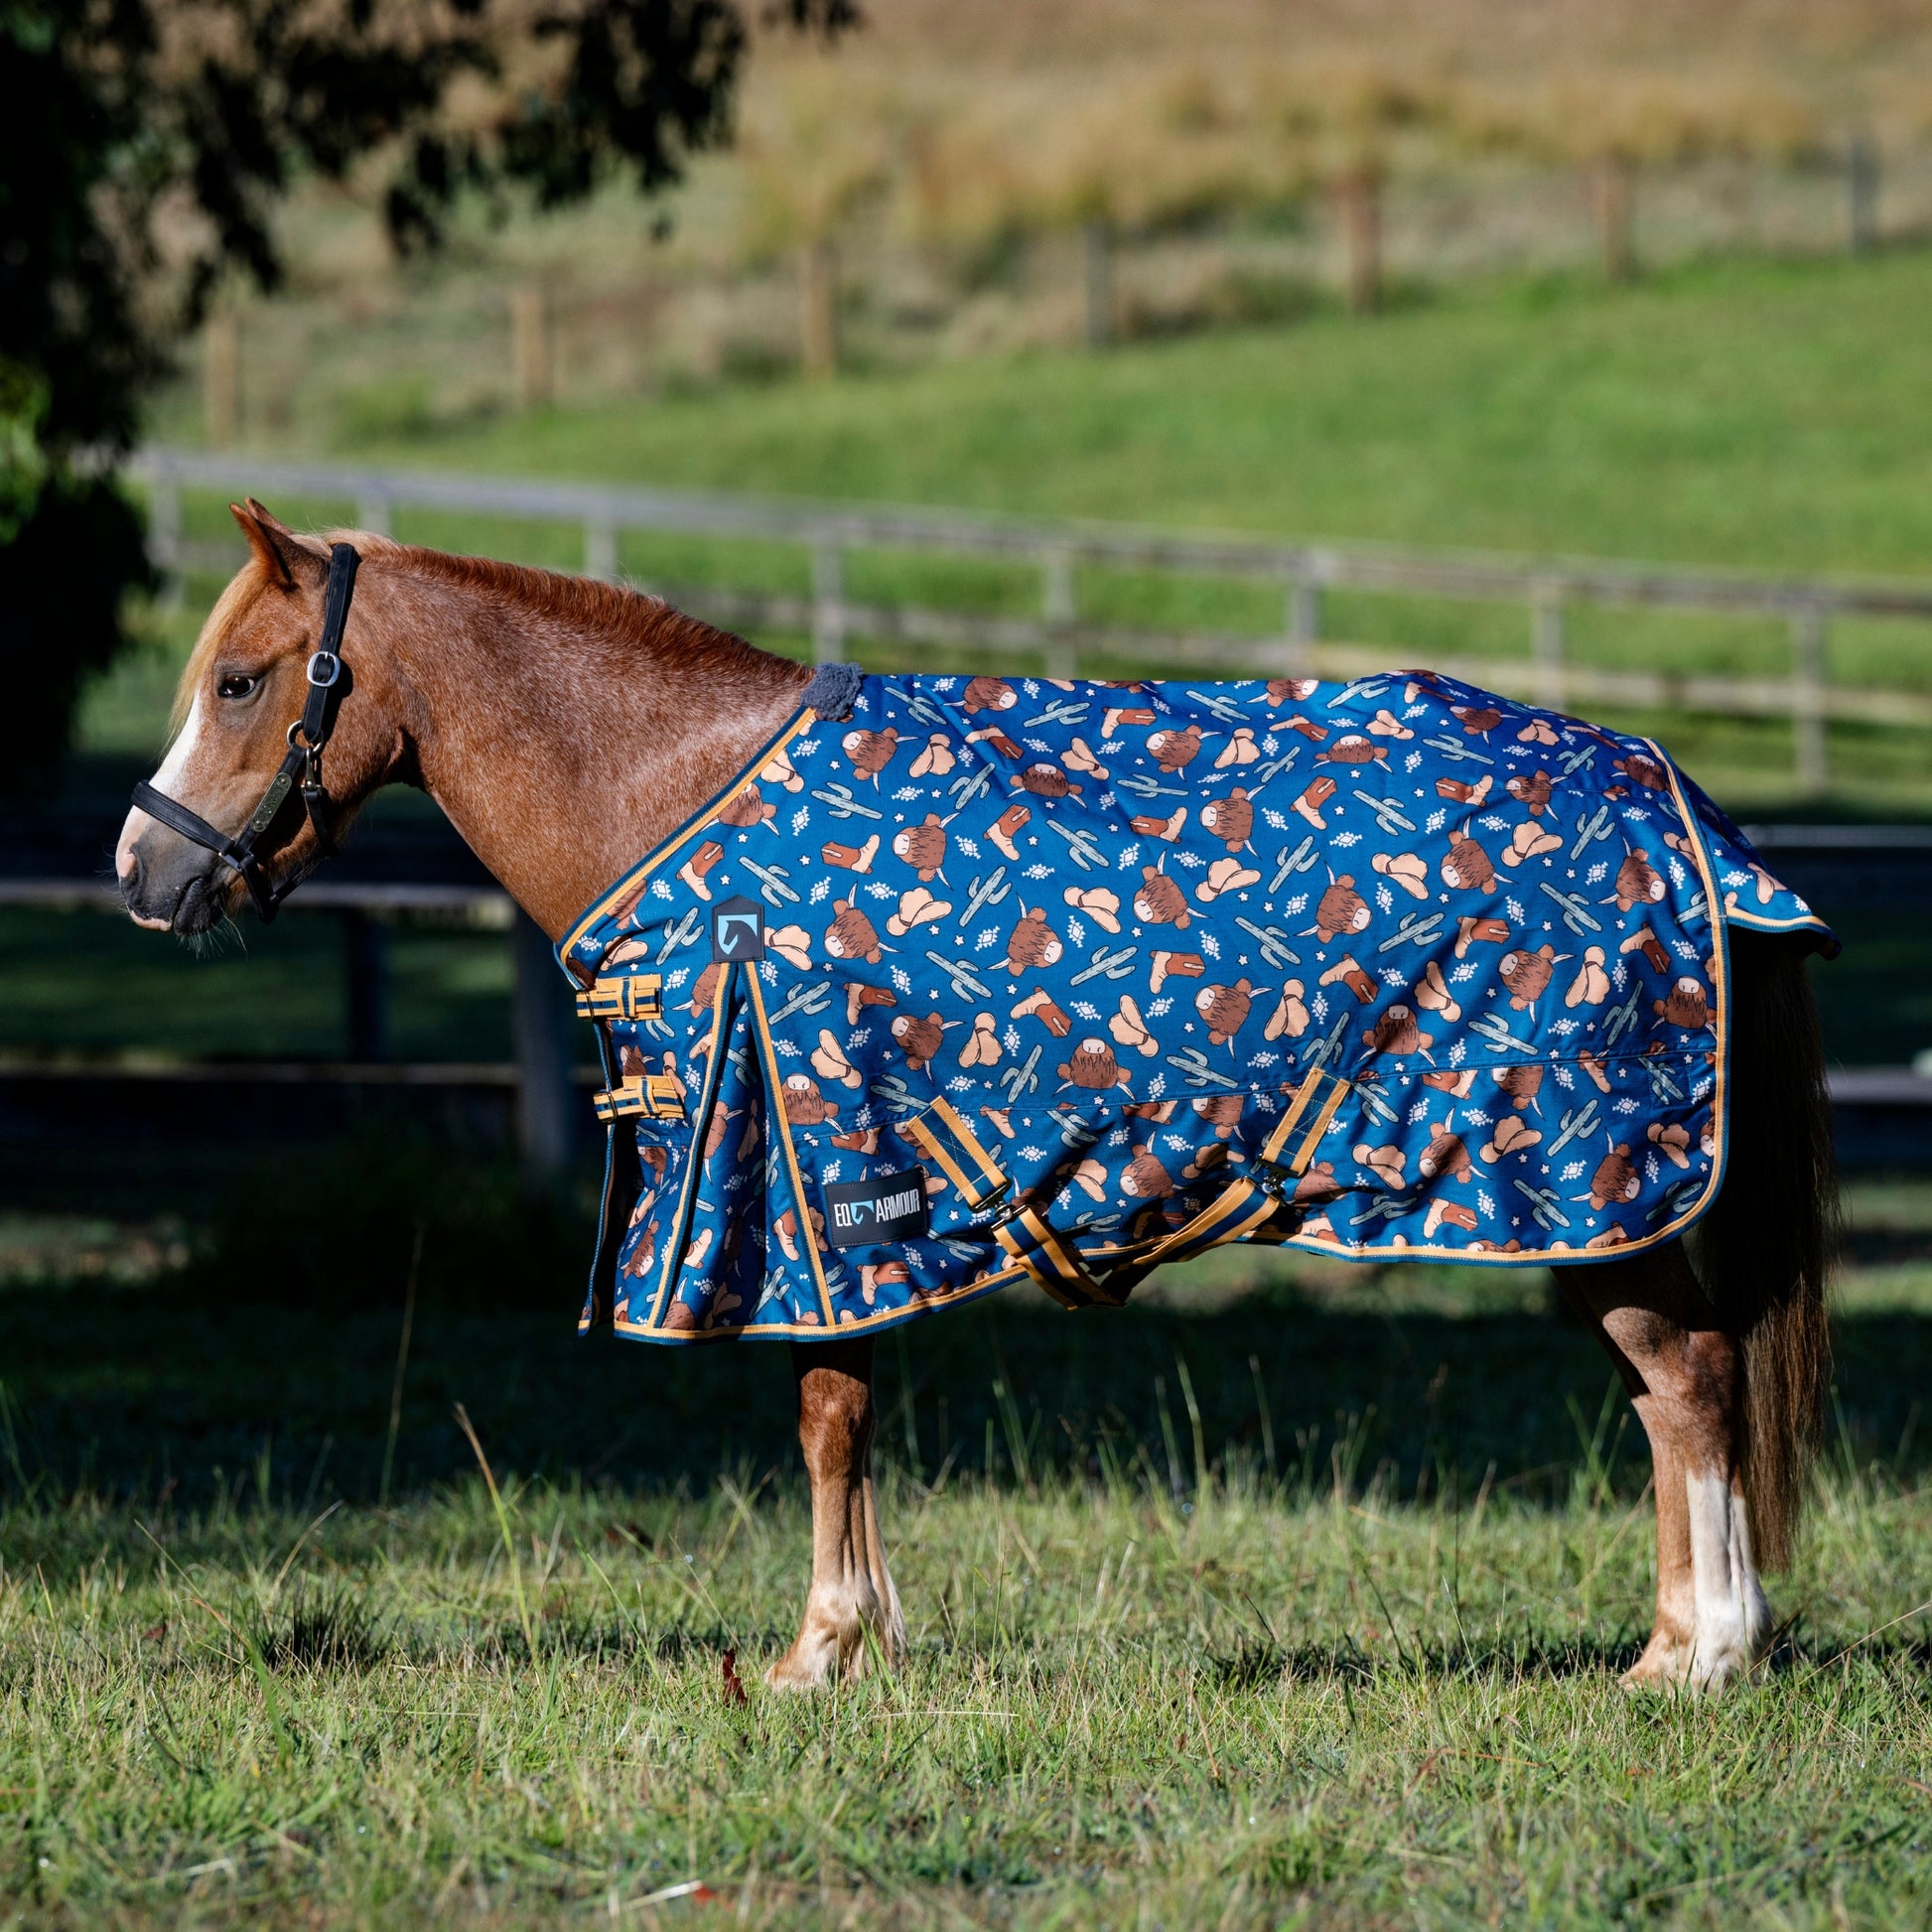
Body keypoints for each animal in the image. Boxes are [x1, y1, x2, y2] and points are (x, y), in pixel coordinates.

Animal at [116, 502, 1836, 1693]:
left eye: (244, 680)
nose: (143, 873)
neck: (679, 796)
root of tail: (1671, 796)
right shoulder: (835, 1207)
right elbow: (849, 1416)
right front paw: (856, 1641)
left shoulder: (808, 1191)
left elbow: (822, 1416)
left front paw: (814, 1655)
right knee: (1664, 1394)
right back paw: (1672, 1642)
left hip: (1581, 1185)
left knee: (1686, 1382)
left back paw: (1704, 1656)